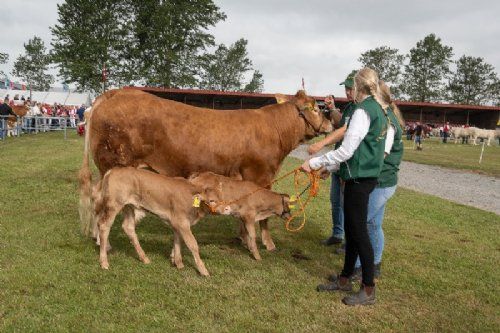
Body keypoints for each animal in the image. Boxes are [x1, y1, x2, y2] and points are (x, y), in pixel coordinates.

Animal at [80, 87, 334, 249]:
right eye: (316, 108)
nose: (331, 123)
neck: (275, 131)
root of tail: (116, 92)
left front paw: (242, 237)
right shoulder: (260, 175)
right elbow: (264, 216)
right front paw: (266, 243)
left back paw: (95, 237)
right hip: (114, 165)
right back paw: (103, 242)